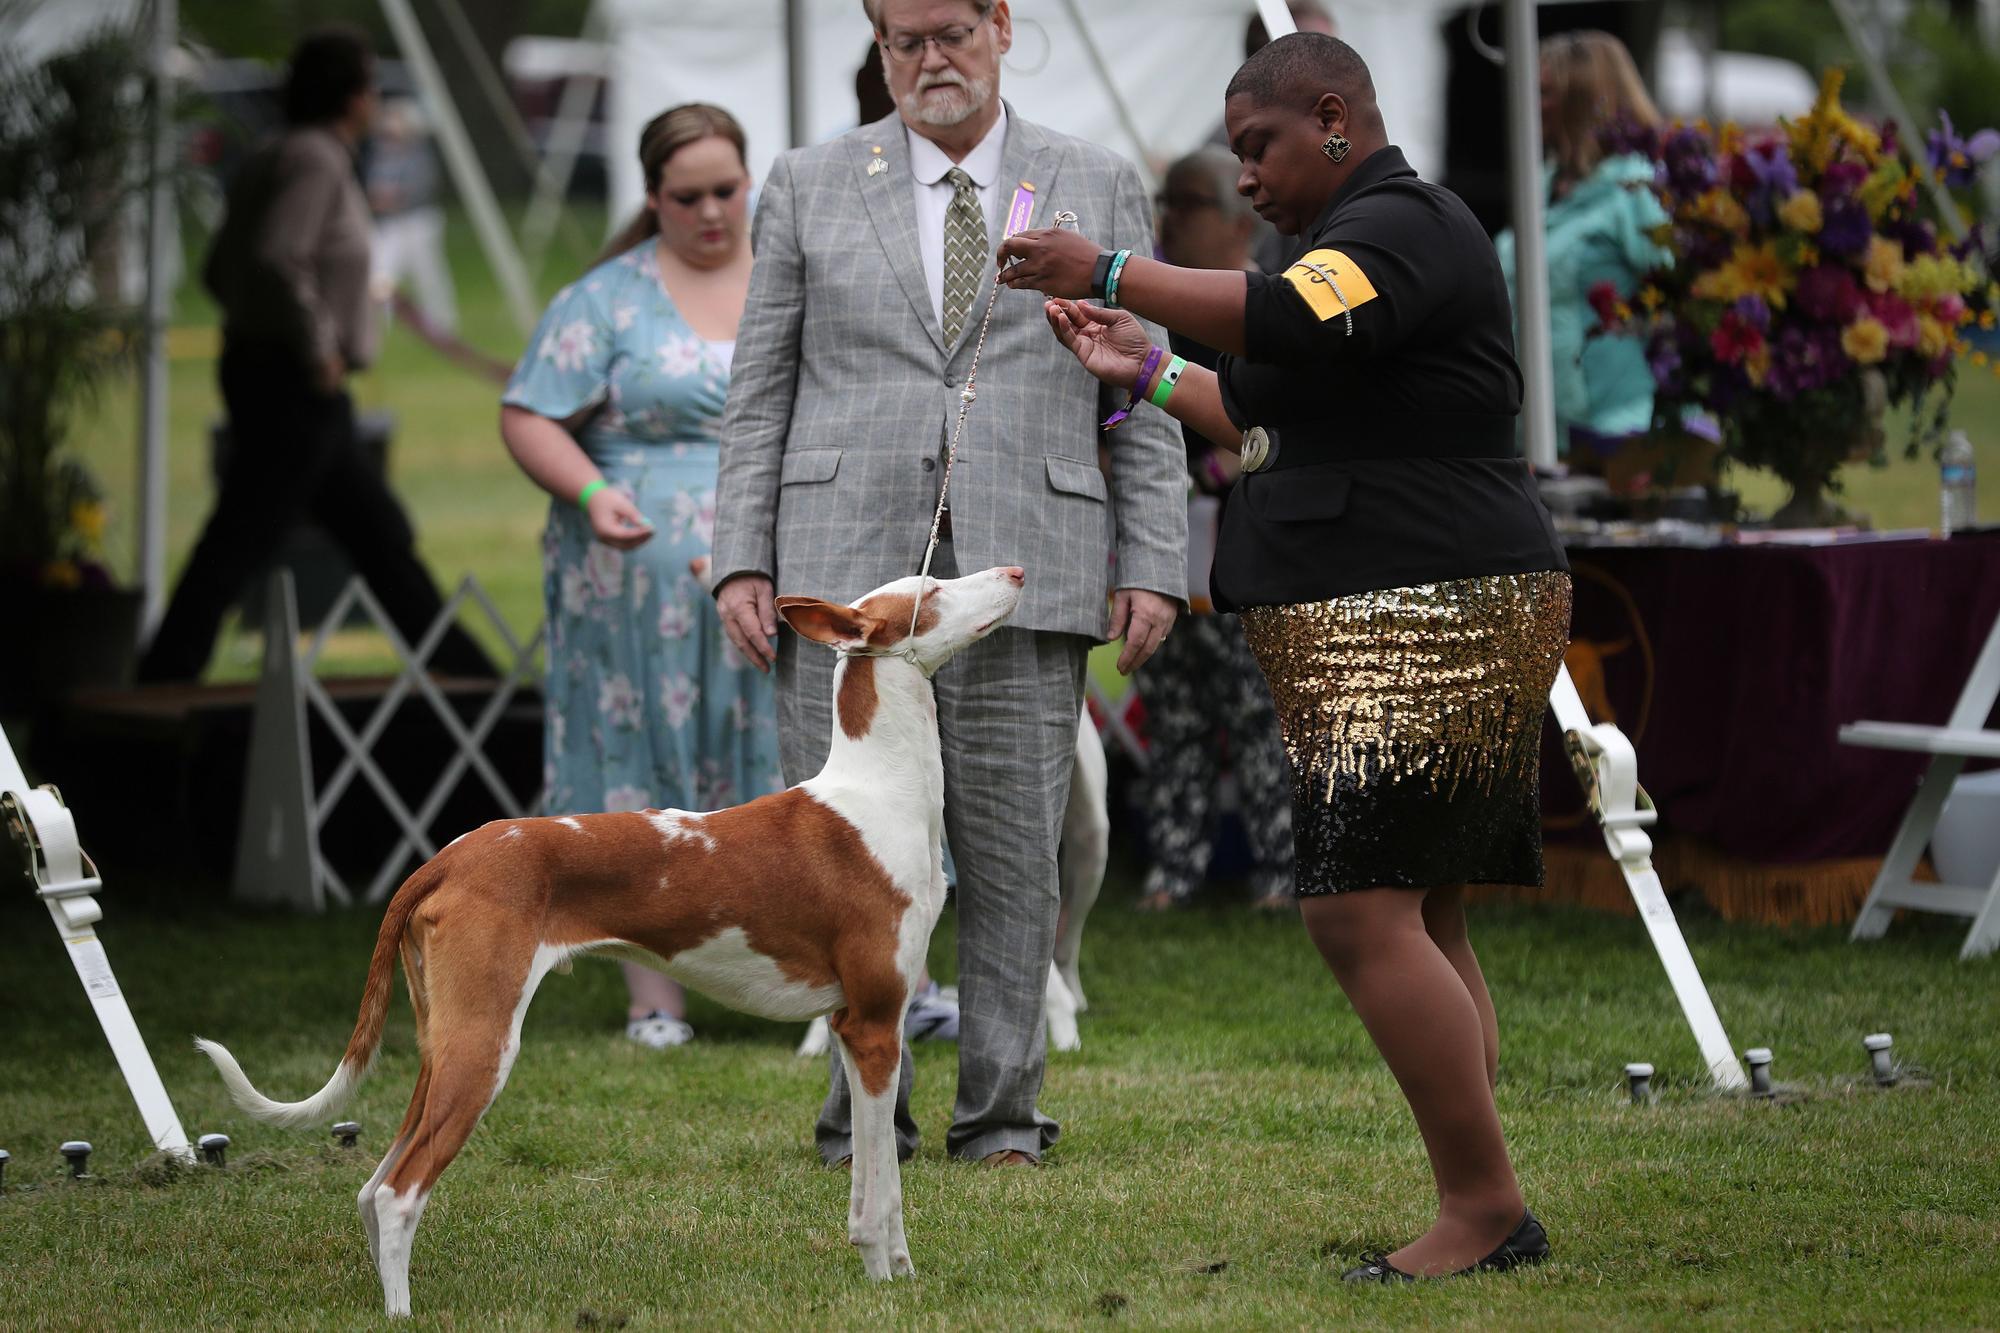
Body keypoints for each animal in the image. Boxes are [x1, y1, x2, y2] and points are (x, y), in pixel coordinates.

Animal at [197, 564, 1032, 1312]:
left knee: (373, 1184)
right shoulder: (874, 1025)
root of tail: (447, 856)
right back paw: (402, 1313)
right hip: (483, 1046)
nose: (1020, 570)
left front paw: (892, 1273)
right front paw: (887, 1280)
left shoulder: (854, 1027)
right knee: (400, 1192)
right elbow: (884, 1185)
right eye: (934, 591)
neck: (879, 791)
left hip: (445, 1043)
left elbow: (871, 1182)